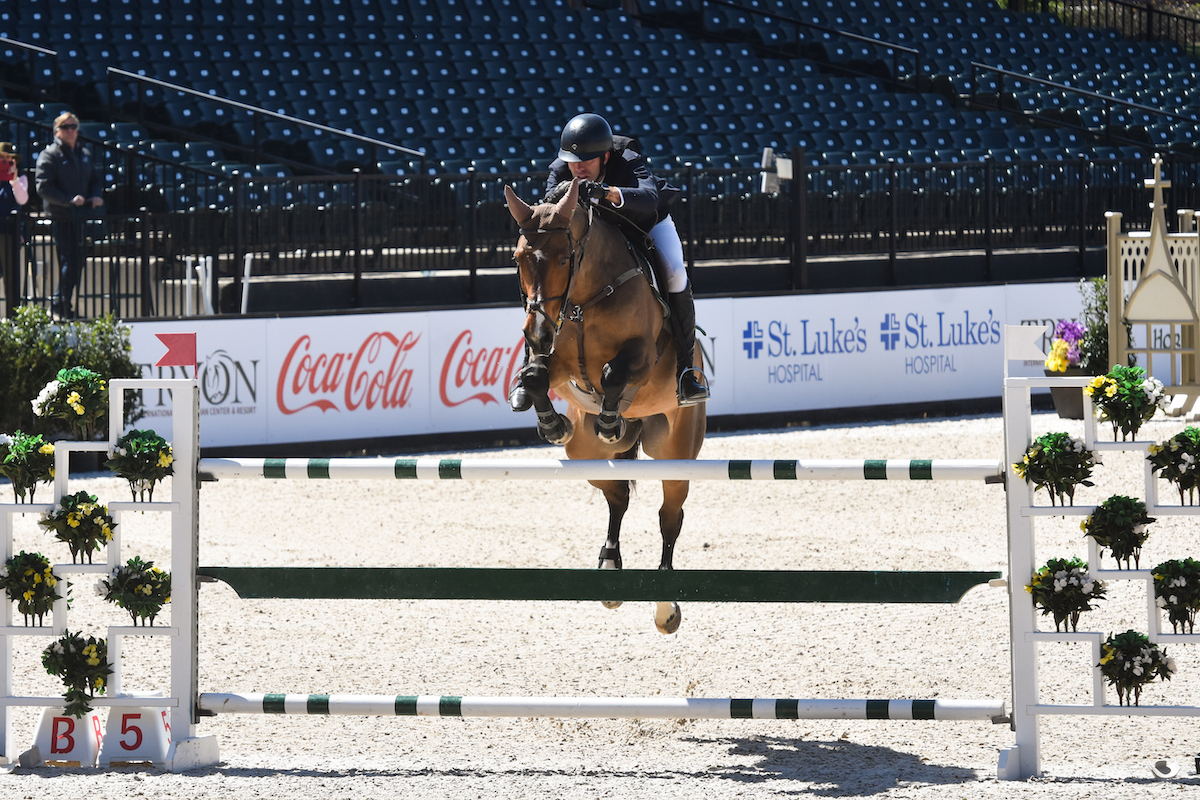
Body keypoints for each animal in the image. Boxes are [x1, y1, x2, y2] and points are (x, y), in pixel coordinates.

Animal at [504, 178, 705, 633]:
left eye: (564, 257)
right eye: (519, 258)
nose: (536, 332)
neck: (584, 298)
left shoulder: (642, 358)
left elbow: (614, 372)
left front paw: (611, 420)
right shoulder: (559, 362)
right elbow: (535, 375)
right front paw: (550, 422)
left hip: (676, 447)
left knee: (670, 514)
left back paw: (666, 606)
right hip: (583, 454)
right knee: (617, 495)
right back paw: (610, 564)